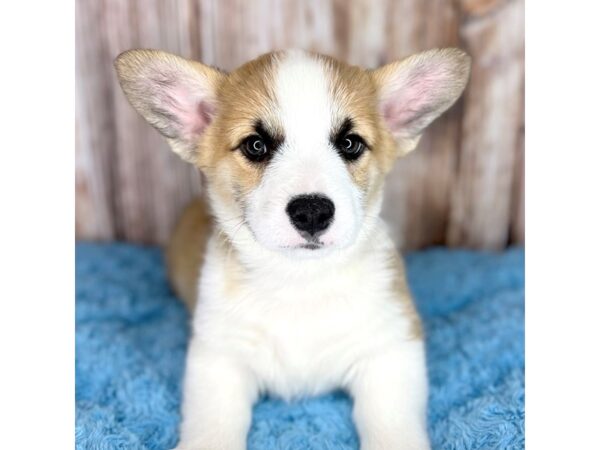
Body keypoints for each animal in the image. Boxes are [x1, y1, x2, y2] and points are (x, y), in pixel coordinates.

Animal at [115, 47, 472, 448]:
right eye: (256, 145)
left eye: (350, 143)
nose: (312, 212)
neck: (300, 280)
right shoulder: (218, 360)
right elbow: (212, 428)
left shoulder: (391, 349)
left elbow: (393, 428)